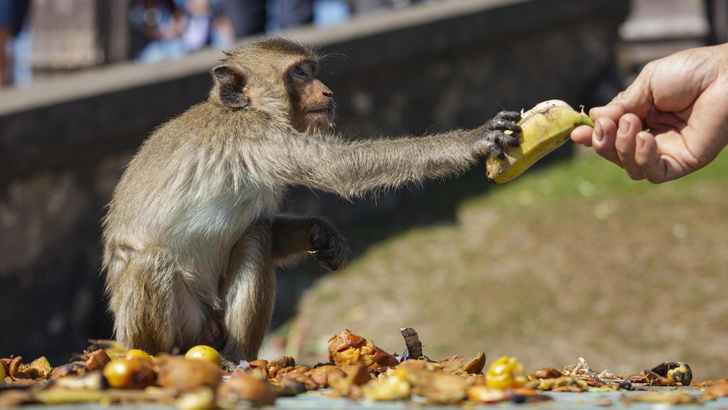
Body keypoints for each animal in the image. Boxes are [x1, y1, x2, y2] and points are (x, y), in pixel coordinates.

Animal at [104, 36, 524, 360]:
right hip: (162, 329)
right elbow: (340, 170)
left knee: (255, 234)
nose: (328, 91)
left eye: (312, 70)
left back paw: (238, 354)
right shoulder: (258, 134)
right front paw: (472, 140)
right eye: (300, 73)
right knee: (153, 263)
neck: (244, 109)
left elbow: (270, 228)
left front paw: (321, 233)